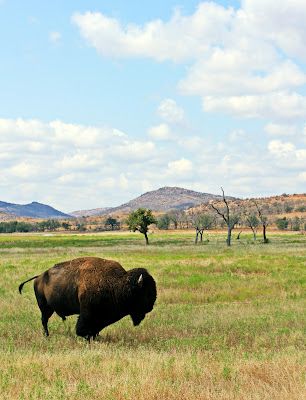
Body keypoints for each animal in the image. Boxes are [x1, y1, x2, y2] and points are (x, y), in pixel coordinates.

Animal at [18, 256, 157, 340]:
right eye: (145, 292)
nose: (151, 306)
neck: (117, 283)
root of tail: (39, 277)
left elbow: (96, 328)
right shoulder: (87, 313)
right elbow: (83, 327)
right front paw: (86, 337)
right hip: (45, 307)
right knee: (44, 321)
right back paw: (47, 336)